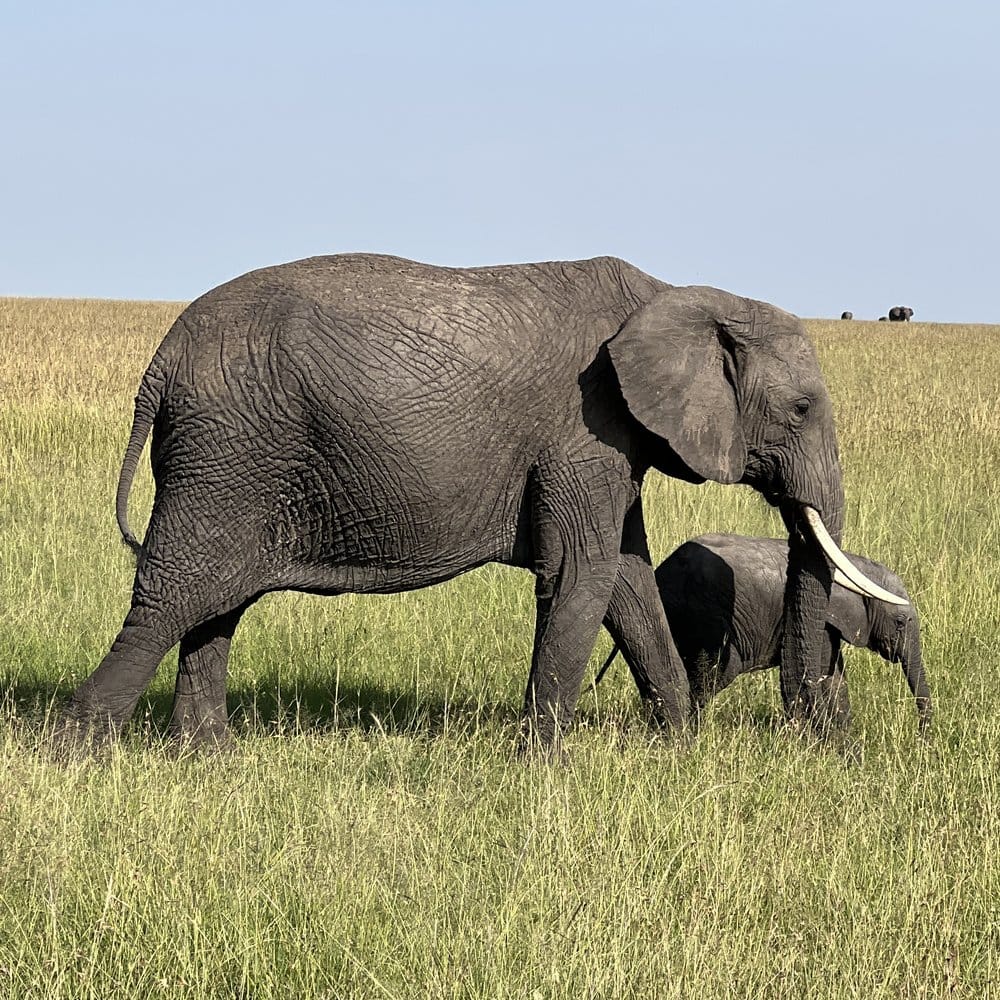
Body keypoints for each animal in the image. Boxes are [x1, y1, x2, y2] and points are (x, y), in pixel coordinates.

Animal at [596, 534, 931, 734]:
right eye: (900, 622)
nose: (923, 737)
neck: (855, 566)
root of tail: (661, 571)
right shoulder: (823, 621)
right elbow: (820, 675)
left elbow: (835, 679)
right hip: (703, 615)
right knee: (711, 673)